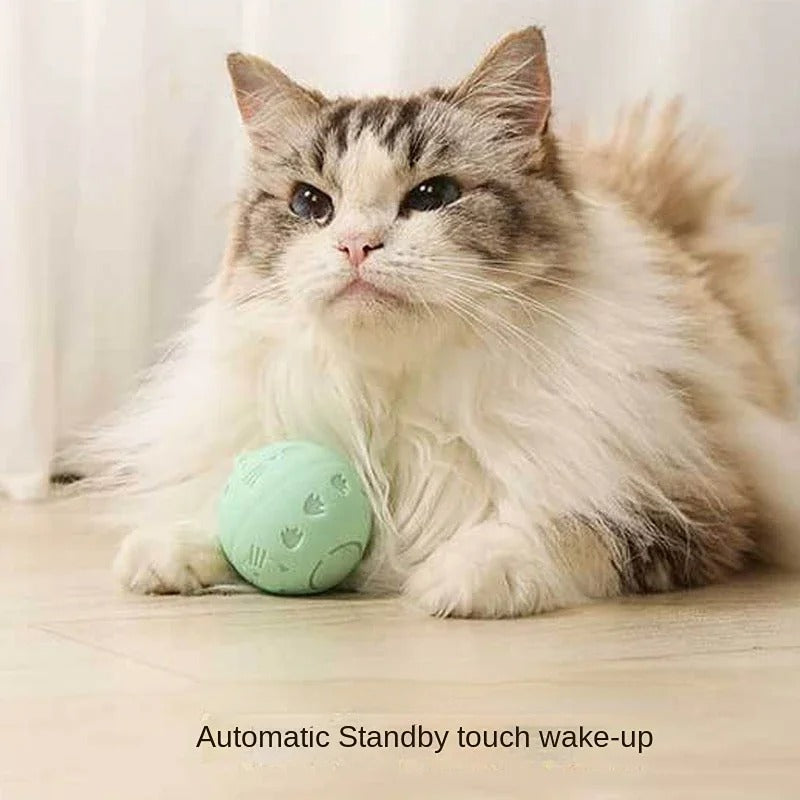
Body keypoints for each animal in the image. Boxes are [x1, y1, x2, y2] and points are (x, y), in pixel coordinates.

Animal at [69, 23, 800, 612]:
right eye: (311, 204)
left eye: (431, 195)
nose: (355, 245)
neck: (393, 402)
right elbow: (216, 511)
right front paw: (171, 550)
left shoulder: (695, 507)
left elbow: (567, 528)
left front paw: (465, 573)